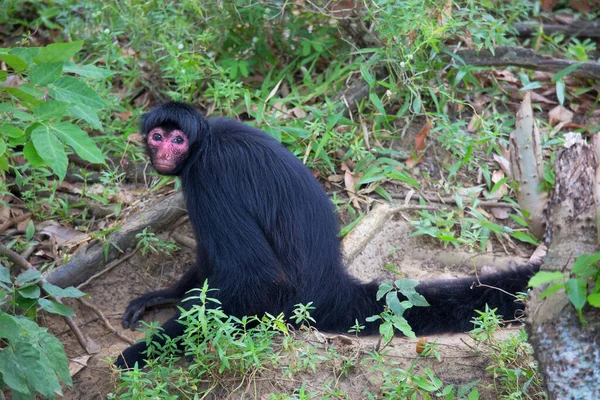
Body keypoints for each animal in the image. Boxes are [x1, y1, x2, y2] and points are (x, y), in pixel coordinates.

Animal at [113, 102, 540, 368]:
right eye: (157, 136)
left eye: (178, 140)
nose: (164, 151)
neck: (206, 142)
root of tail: (330, 286)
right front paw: (164, 295)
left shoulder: (209, 176)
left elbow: (254, 276)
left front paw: (139, 355)